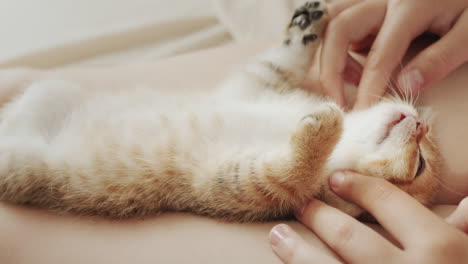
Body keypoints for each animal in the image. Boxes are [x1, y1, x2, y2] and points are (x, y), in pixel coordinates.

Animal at [0, 1, 438, 221]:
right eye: (425, 150)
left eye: (420, 167)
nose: (419, 122)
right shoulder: (254, 87)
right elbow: (280, 63)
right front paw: (305, 28)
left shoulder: (237, 182)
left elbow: (287, 174)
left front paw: (322, 131)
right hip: (51, 87)